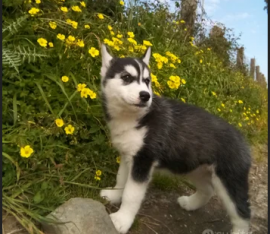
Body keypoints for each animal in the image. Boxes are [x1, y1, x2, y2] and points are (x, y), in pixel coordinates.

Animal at [99, 44, 251, 234]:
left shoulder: (143, 161)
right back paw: (190, 203)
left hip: (230, 179)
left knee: (242, 213)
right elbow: (121, 180)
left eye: (147, 81)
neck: (133, 117)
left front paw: (121, 220)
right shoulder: (128, 156)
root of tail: (241, 136)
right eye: (127, 77)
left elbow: (131, 194)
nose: (145, 96)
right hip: (195, 168)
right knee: (208, 190)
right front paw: (113, 195)